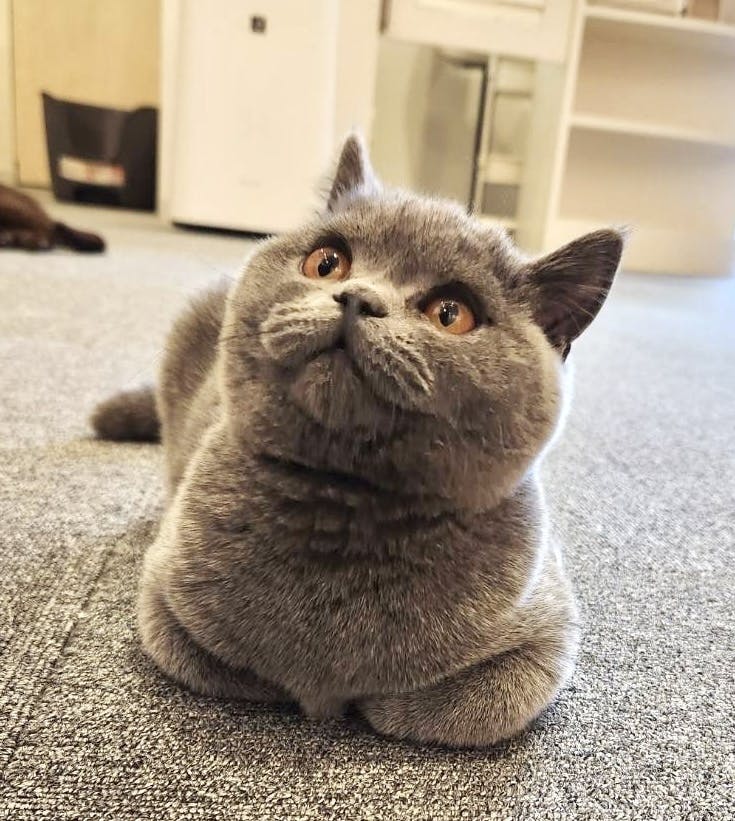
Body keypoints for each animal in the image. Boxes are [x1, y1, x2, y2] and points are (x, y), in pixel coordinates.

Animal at [91, 135, 623, 748]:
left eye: (451, 313)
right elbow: (232, 665)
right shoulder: (164, 600)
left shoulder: (546, 636)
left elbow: (456, 709)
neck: (342, 505)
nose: (356, 297)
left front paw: (362, 700)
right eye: (327, 263)